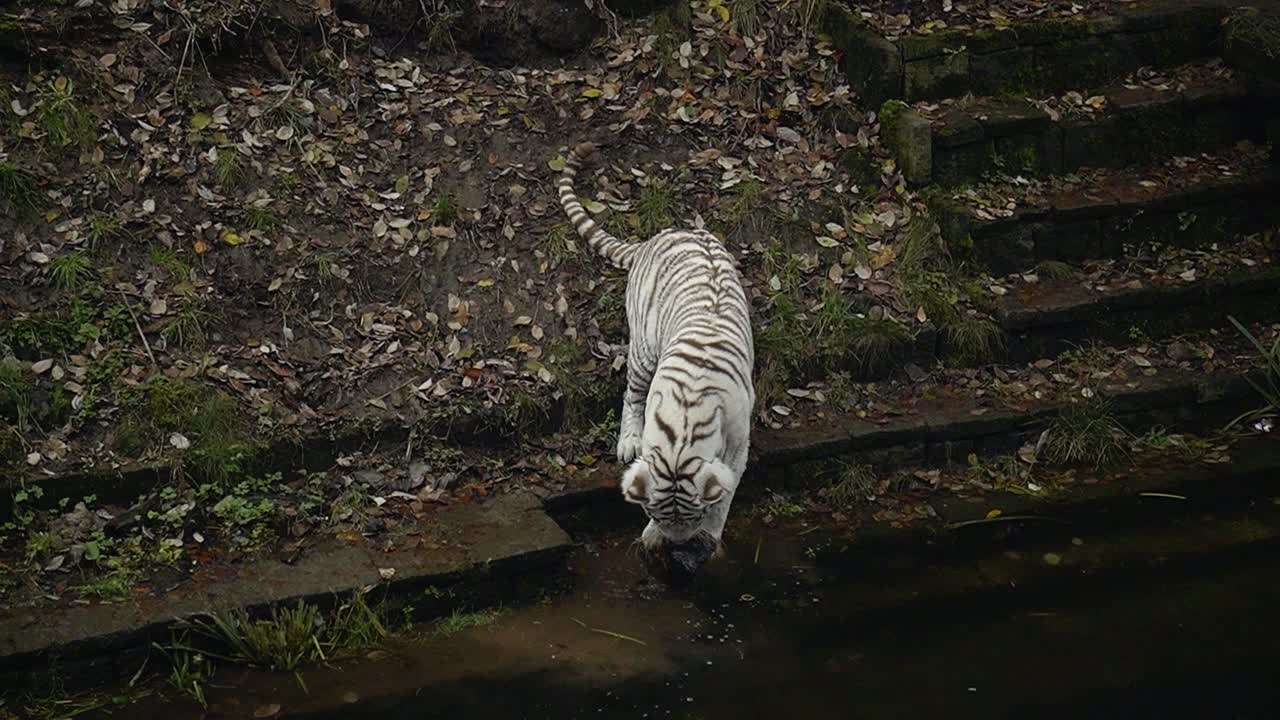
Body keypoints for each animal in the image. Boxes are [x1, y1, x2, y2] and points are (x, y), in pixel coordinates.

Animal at [557, 142, 755, 573]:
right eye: (653, 513)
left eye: (695, 515)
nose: (676, 545)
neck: (684, 434)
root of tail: (659, 235)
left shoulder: (736, 447)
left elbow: (727, 492)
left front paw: (708, 537)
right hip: (644, 349)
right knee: (630, 393)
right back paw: (626, 441)